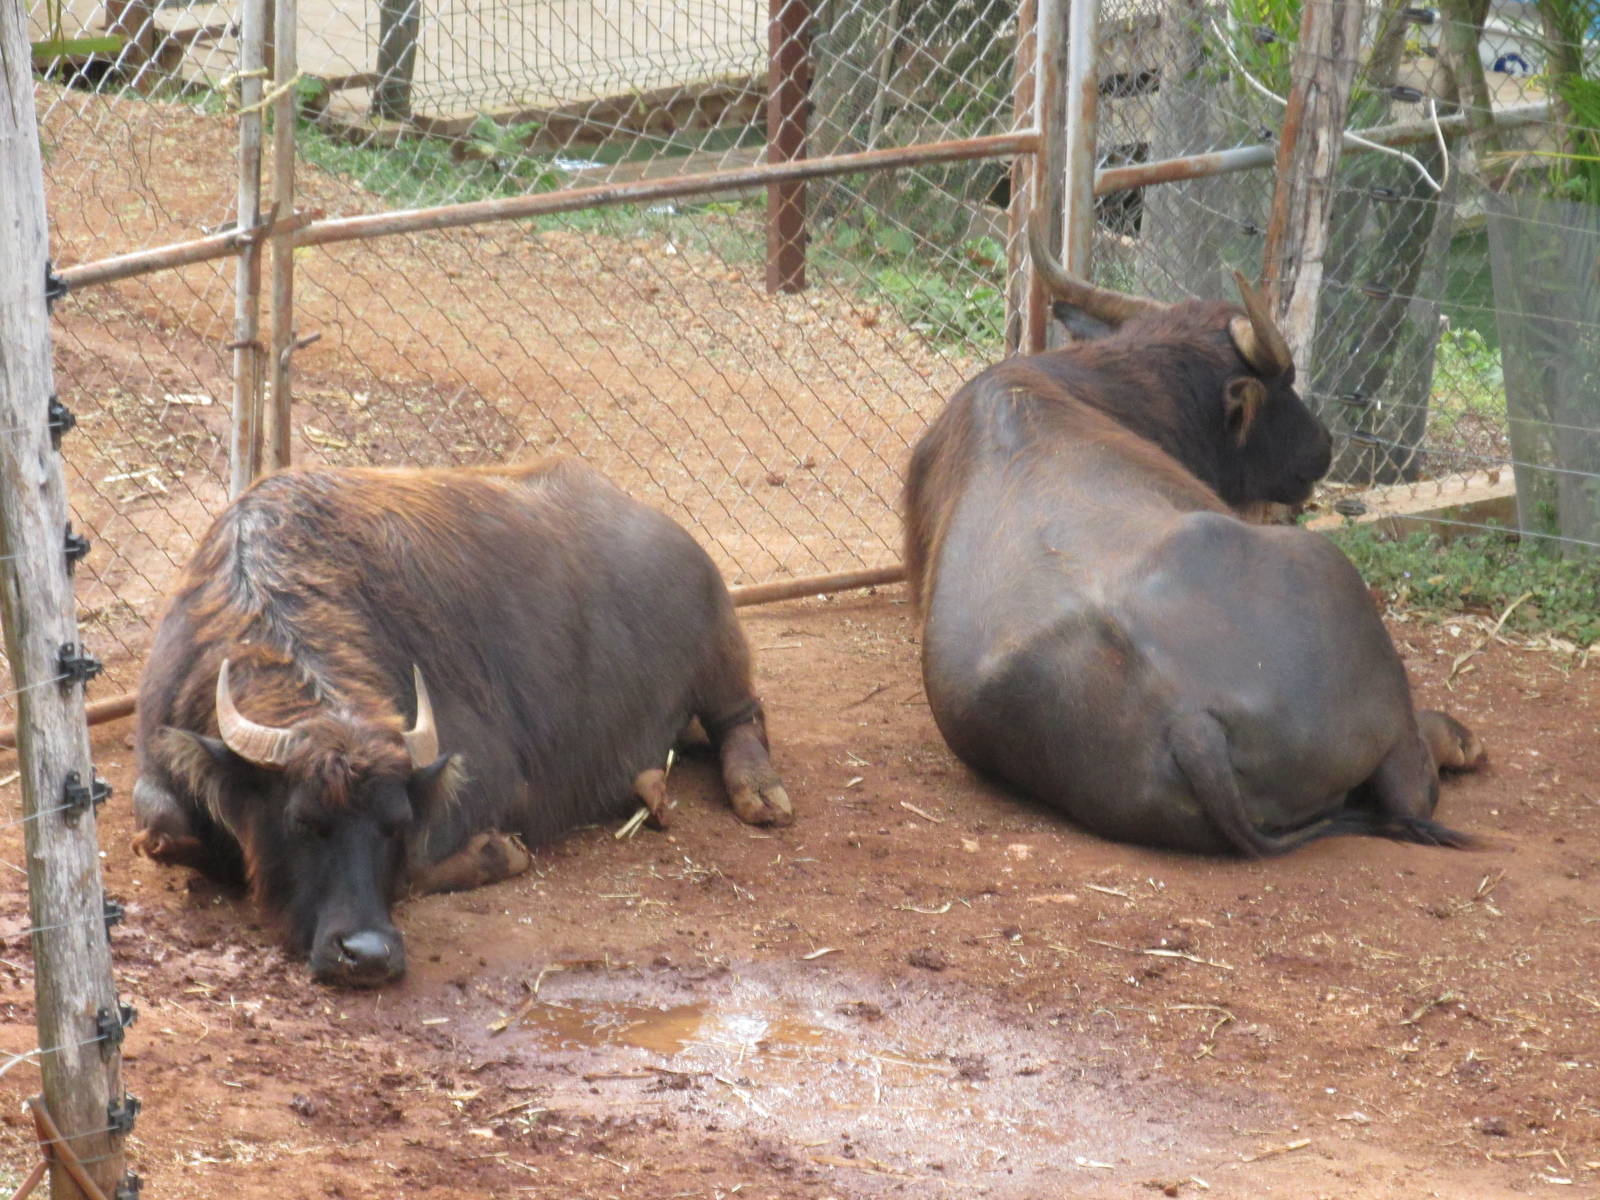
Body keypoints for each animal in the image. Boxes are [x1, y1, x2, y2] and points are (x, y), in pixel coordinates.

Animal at [133, 458, 790, 984]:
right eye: (302, 821)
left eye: (395, 824)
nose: (367, 955)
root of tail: (676, 537)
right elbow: (161, 831)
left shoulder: (490, 780)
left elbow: (422, 861)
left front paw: (500, 851)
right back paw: (650, 788)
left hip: (722, 660)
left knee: (743, 719)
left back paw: (760, 795)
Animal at [902, 252, 1484, 856]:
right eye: (1286, 382)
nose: (1323, 445)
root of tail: (1192, 724)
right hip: (1341, 593)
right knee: (1410, 788)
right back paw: (1459, 741)